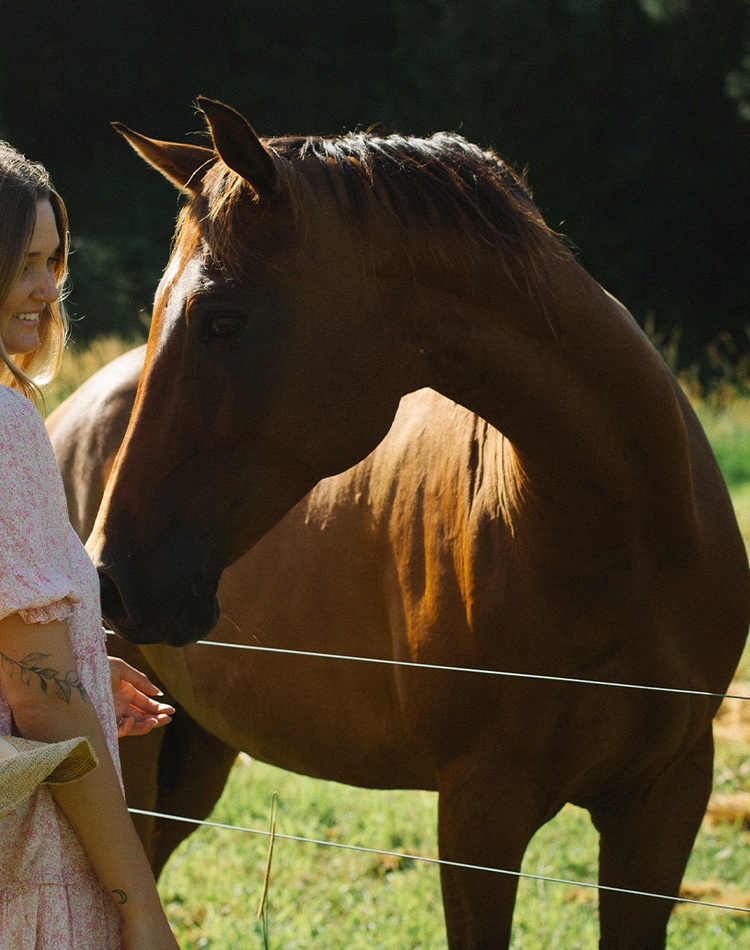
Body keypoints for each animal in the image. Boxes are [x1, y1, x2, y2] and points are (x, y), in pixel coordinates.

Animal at [79, 98, 748, 948]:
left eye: (221, 321)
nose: (108, 580)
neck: (621, 541)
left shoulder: (665, 802)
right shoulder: (479, 814)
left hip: (196, 754)